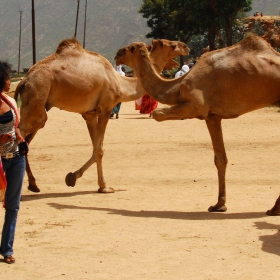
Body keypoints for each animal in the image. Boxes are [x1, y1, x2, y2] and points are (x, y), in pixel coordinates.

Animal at [14, 37, 189, 194]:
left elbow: (94, 148)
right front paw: (104, 187)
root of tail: (24, 81)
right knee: (20, 134)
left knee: (26, 142)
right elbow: (100, 149)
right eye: (171, 45)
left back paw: (33, 185)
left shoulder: (89, 114)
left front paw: (72, 177)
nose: (185, 46)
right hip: (37, 97)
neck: (120, 82)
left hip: (40, 107)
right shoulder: (106, 108)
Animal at [114, 35, 280, 214]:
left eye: (130, 49)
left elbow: (158, 114)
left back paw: (274, 208)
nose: (117, 54)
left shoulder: (197, 105)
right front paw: (219, 204)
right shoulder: (212, 116)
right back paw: (274, 208)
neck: (178, 85)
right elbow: (220, 159)